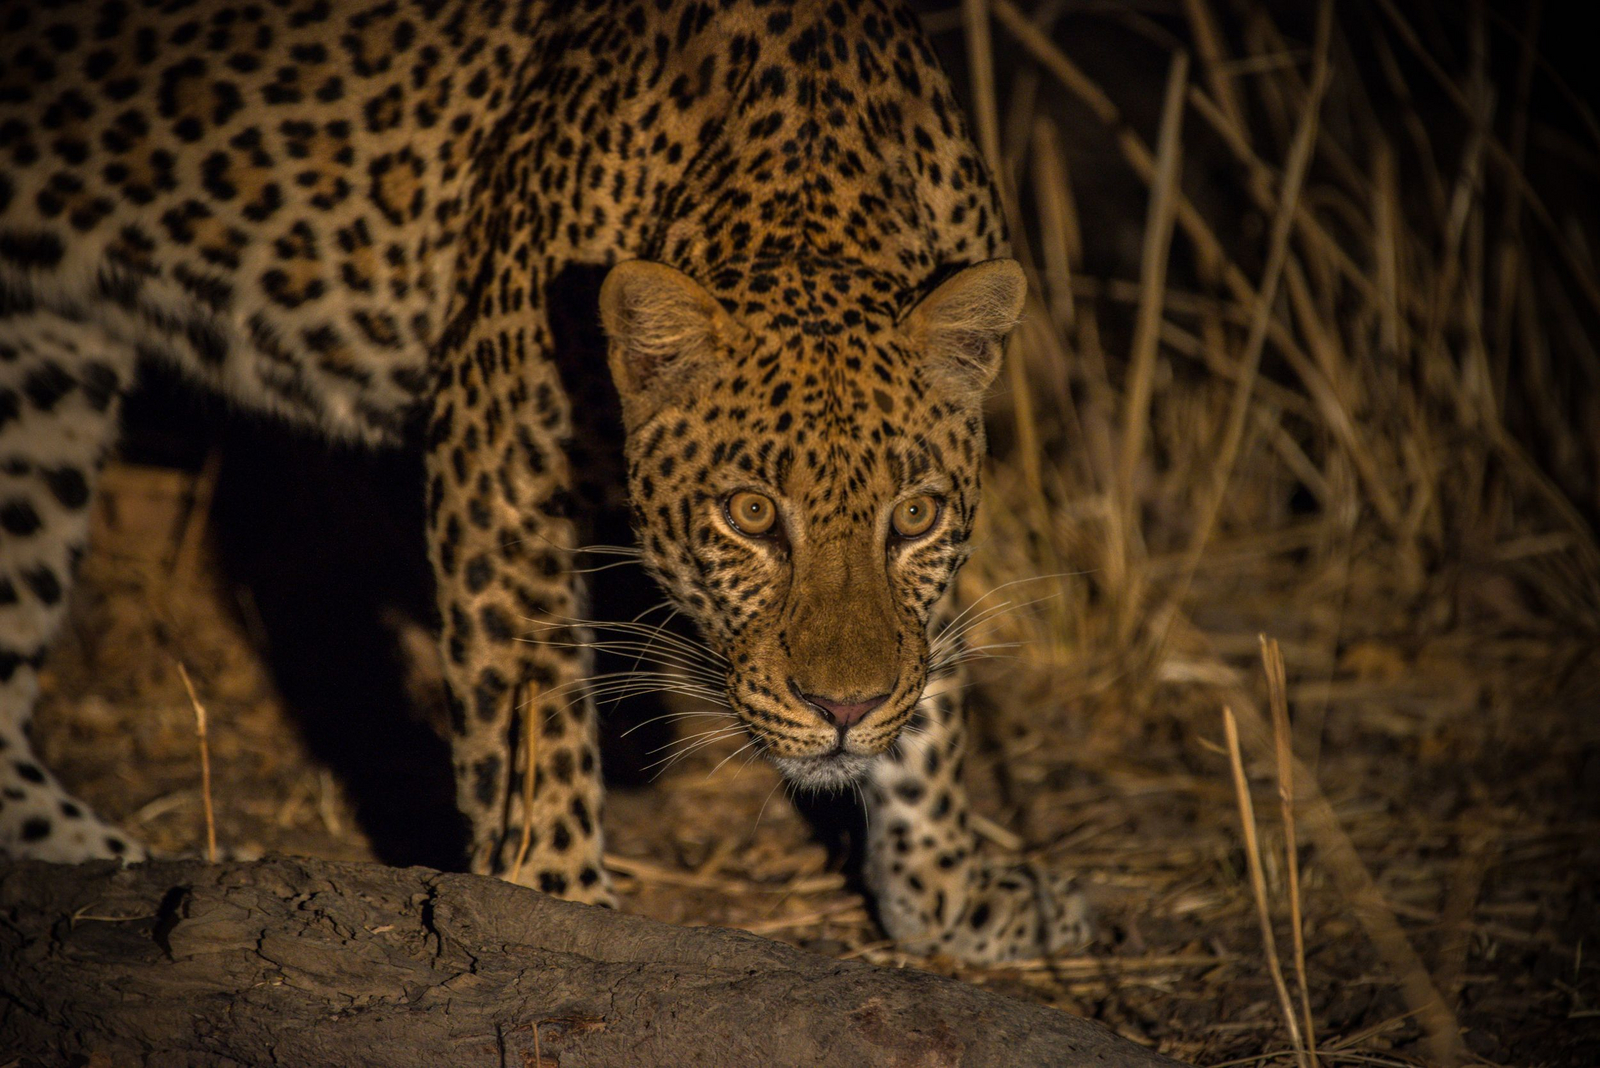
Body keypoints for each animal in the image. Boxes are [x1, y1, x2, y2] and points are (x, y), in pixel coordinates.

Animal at [0, 0, 1092, 962]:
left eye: (913, 517)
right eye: (748, 516)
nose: (844, 712)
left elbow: (938, 680)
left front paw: (946, 893)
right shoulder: (498, 457)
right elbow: (530, 716)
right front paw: (554, 902)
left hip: (48, 366)